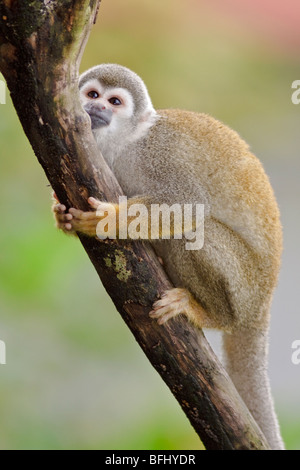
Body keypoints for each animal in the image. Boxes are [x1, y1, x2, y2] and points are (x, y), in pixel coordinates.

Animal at [52, 64, 284, 450]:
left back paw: (207, 312)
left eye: (114, 102)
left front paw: (108, 220)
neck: (125, 145)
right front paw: (61, 214)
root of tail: (262, 306)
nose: (96, 109)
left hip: (245, 287)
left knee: (195, 232)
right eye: (93, 95)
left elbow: (188, 203)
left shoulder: (159, 155)